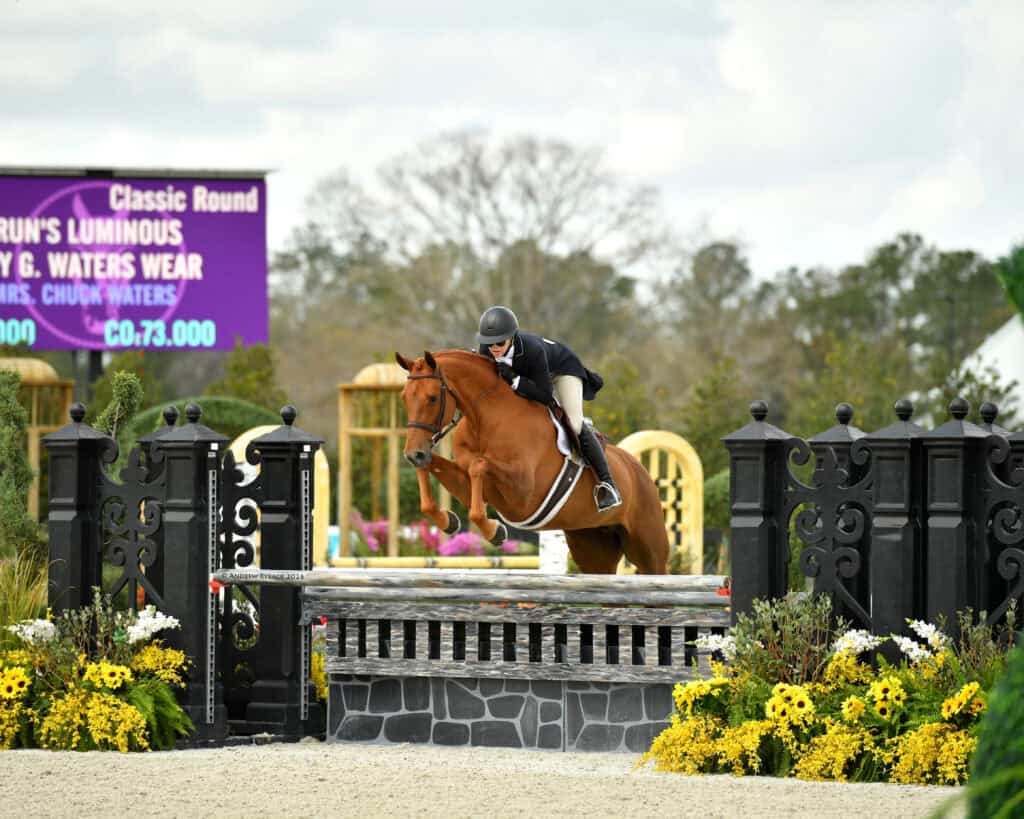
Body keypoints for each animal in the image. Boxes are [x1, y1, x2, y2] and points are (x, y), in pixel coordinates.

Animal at [394, 349, 670, 574]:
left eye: (432, 398)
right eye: (404, 397)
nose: (413, 453)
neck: (484, 420)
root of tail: (639, 469)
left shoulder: (523, 493)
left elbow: (479, 466)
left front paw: (494, 531)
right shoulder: (467, 484)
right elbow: (440, 470)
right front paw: (447, 520)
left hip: (649, 549)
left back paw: (608, 493)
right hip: (591, 545)